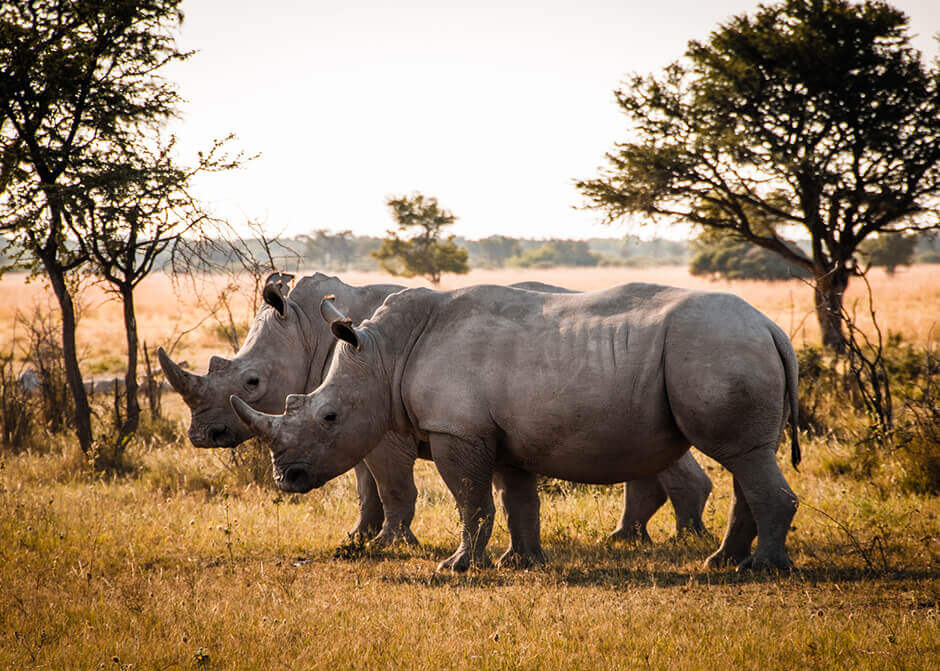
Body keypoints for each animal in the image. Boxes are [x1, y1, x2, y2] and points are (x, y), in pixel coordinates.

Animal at [162, 272, 712, 552]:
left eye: (251, 383)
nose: (202, 436)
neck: (308, 330)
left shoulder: (378, 420)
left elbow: (389, 483)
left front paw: (389, 544)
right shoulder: (354, 416)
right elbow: (365, 483)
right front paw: (356, 539)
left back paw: (685, 542)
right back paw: (628, 539)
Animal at [231, 284, 796, 572]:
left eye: (329, 417)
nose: (286, 479)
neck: (387, 355)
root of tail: (773, 327)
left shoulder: (457, 430)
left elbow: (471, 500)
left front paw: (457, 568)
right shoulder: (499, 435)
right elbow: (515, 499)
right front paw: (520, 562)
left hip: (719, 347)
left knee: (741, 454)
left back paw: (756, 570)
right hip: (730, 347)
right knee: (749, 456)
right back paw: (723, 563)